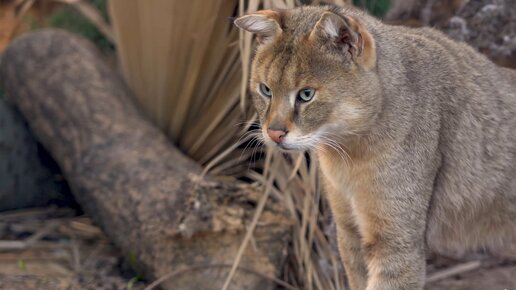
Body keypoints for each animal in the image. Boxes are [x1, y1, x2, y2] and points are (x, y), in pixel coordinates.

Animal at [236, 4, 516, 290]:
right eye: (266, 90)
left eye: (306, 94)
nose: (274, 133)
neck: (348, 155)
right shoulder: (349, 232)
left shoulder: (395, 243)